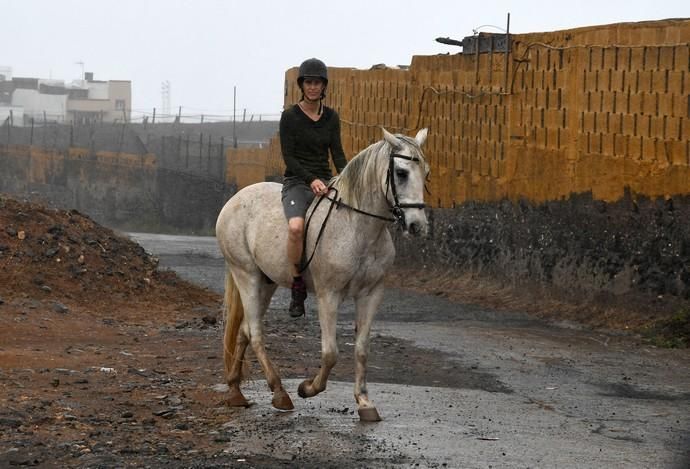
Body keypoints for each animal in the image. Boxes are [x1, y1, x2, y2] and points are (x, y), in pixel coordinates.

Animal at [215, 127, 428, 420]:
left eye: (426, 173)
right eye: (401, 173)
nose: (417, 226)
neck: (357, 227)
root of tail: (235, 199)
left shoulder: (372, 294)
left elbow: (362, 349)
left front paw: (365, 403)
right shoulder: (329, 295)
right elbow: (330, 353)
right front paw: (307, 388)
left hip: (266, 282)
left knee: (245, 330)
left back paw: (236, 390)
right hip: (246, 275)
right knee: (256, 333)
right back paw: (280, 394)